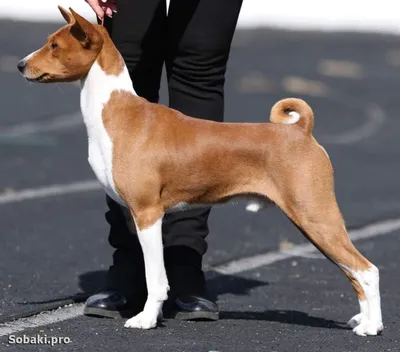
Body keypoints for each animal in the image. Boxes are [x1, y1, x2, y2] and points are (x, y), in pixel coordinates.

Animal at [17, 6, 382, 336]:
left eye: (54, 45)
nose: (20, 65)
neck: (116, 112)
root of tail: (302, 130)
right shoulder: (133, 213)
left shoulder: (148, 213)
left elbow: (156, 278)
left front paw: (145, 320)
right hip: (315, 222)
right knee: (353, 273)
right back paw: (361, 321)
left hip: (316, 215)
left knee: (367, 269)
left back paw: (372, 327)